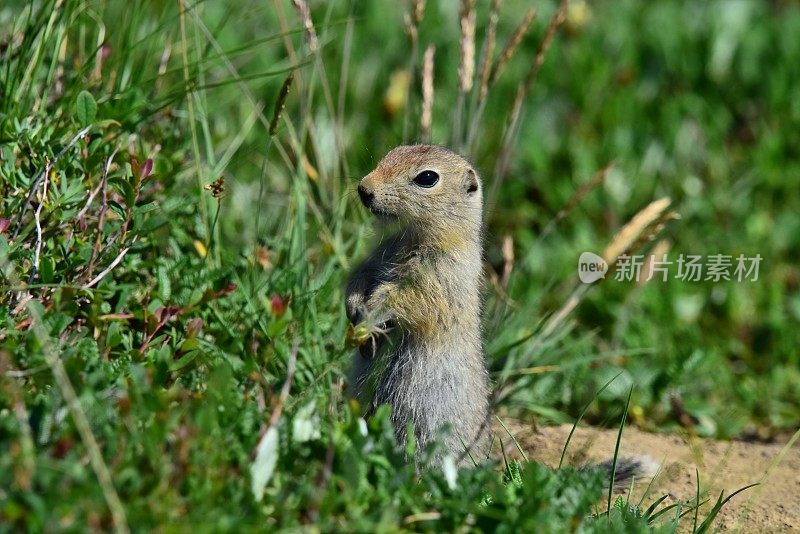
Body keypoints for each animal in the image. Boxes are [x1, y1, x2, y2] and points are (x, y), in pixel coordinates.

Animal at [346, 144, 490, 462]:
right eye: (391, 153)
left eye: (427, 178)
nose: (364, 188)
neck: (409, 236)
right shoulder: (375, 257)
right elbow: (359, 275)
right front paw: (353, 308)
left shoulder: (439, 276)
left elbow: (408, 299)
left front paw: (372, 315)